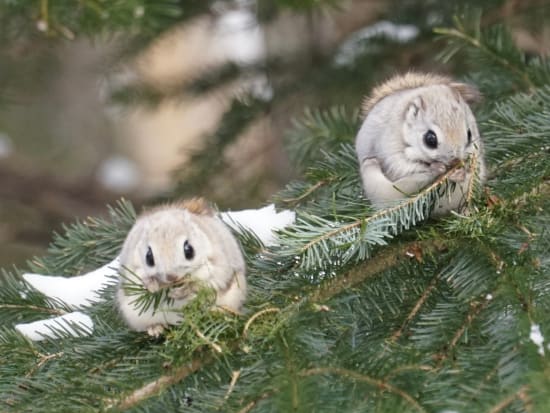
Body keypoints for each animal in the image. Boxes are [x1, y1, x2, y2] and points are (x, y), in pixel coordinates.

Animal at [118, 198, 248, 336]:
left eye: (189, 250)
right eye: (149, 257)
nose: (171, 277)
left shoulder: (217, 265)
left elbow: (205, 284)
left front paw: (183, 290)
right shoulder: (132, 270)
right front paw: (152, 285)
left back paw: (218, 312)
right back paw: (155, 327)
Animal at [356, 71, 490, 212]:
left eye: (469, 135)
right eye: (430, 139)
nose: (455, 160)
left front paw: (460, 172)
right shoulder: (390, 150)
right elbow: (402, 168)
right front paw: (436, 168)